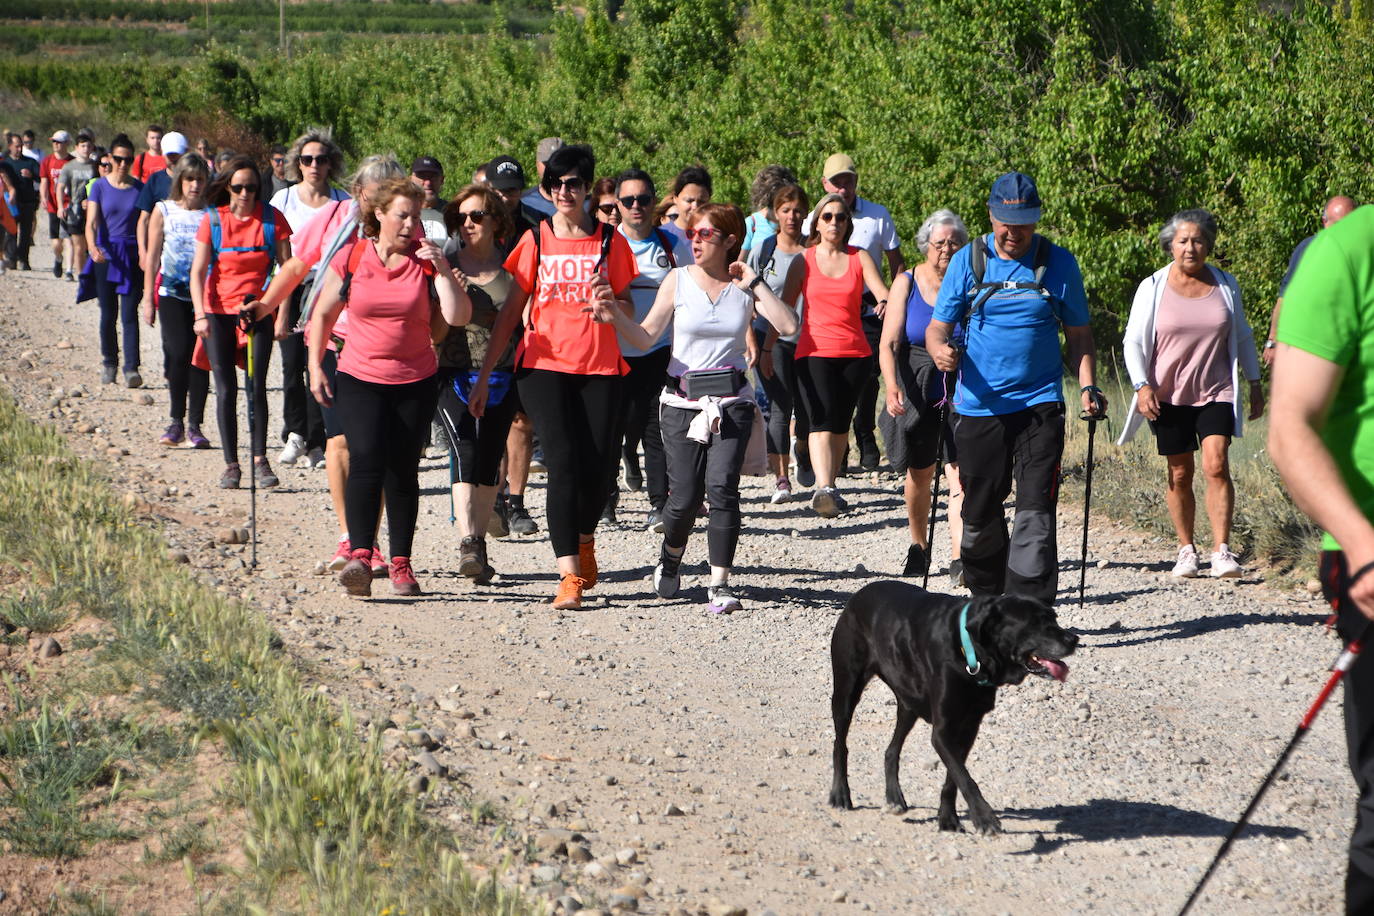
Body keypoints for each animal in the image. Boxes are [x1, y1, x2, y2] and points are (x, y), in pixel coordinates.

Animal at [824, 585, 1071, 834]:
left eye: (1054, 617)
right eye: (1034, 622)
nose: (1074, 639)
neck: (969, 651)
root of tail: (858, 595)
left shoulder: (969, 726)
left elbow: (954, 778)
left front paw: (948, 818)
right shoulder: (942, 732)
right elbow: (964, 777)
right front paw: (985, 818)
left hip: (908, 703)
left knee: (891, 750)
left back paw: (894, 796)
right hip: (847, 690)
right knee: (839, 744)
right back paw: (840, 794)